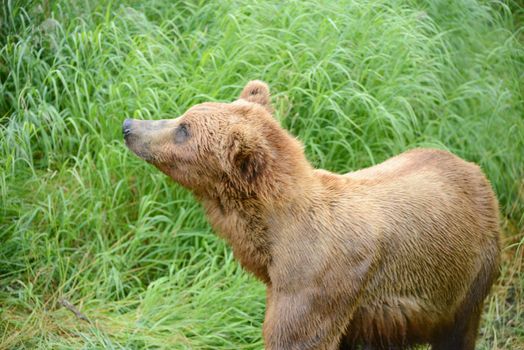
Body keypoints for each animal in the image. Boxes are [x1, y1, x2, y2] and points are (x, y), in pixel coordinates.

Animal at [122, 80, 500, 348]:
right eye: (184, 115)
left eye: (183, 129)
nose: (129, 124)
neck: (273, 241)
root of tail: (474, 169)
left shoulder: (318, 283)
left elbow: (295, 337)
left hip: (465, 280)